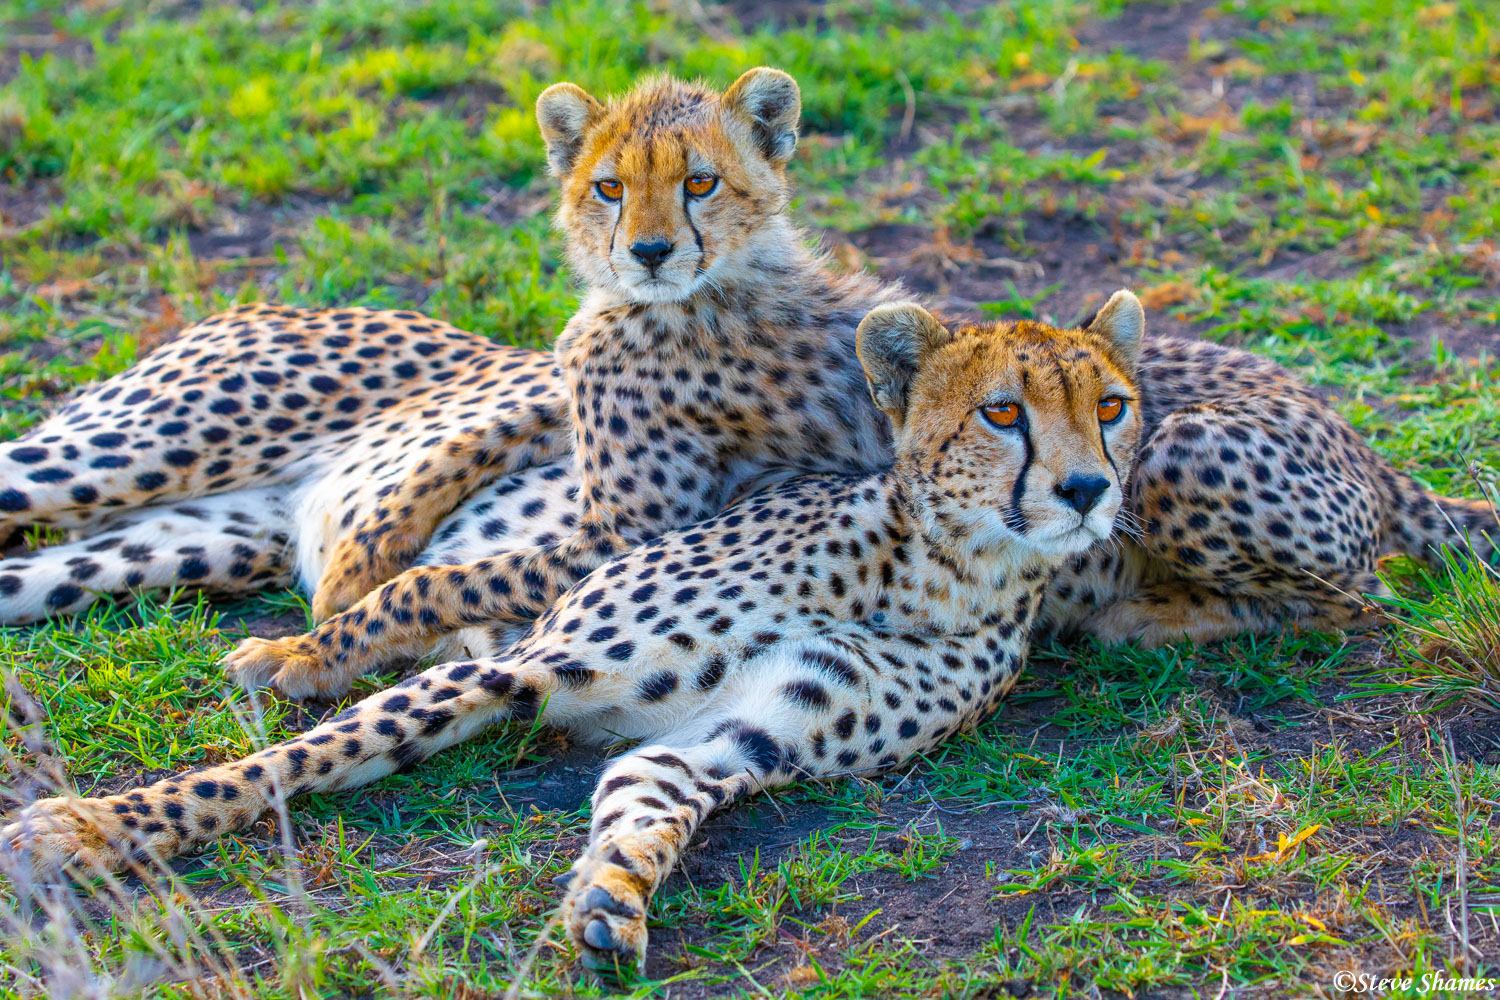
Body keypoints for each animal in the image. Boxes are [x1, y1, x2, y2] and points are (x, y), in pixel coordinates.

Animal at [0, 293, 1152, 971]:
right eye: (1003, 412)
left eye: (1112, 406)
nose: (1088, 490)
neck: (942, 569)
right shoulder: (524, 661)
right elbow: (287, 762)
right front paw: (87, 828)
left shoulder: (728, 743)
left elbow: (644, 809)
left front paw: (610, 900)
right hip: (107, 458)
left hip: (176, 544)